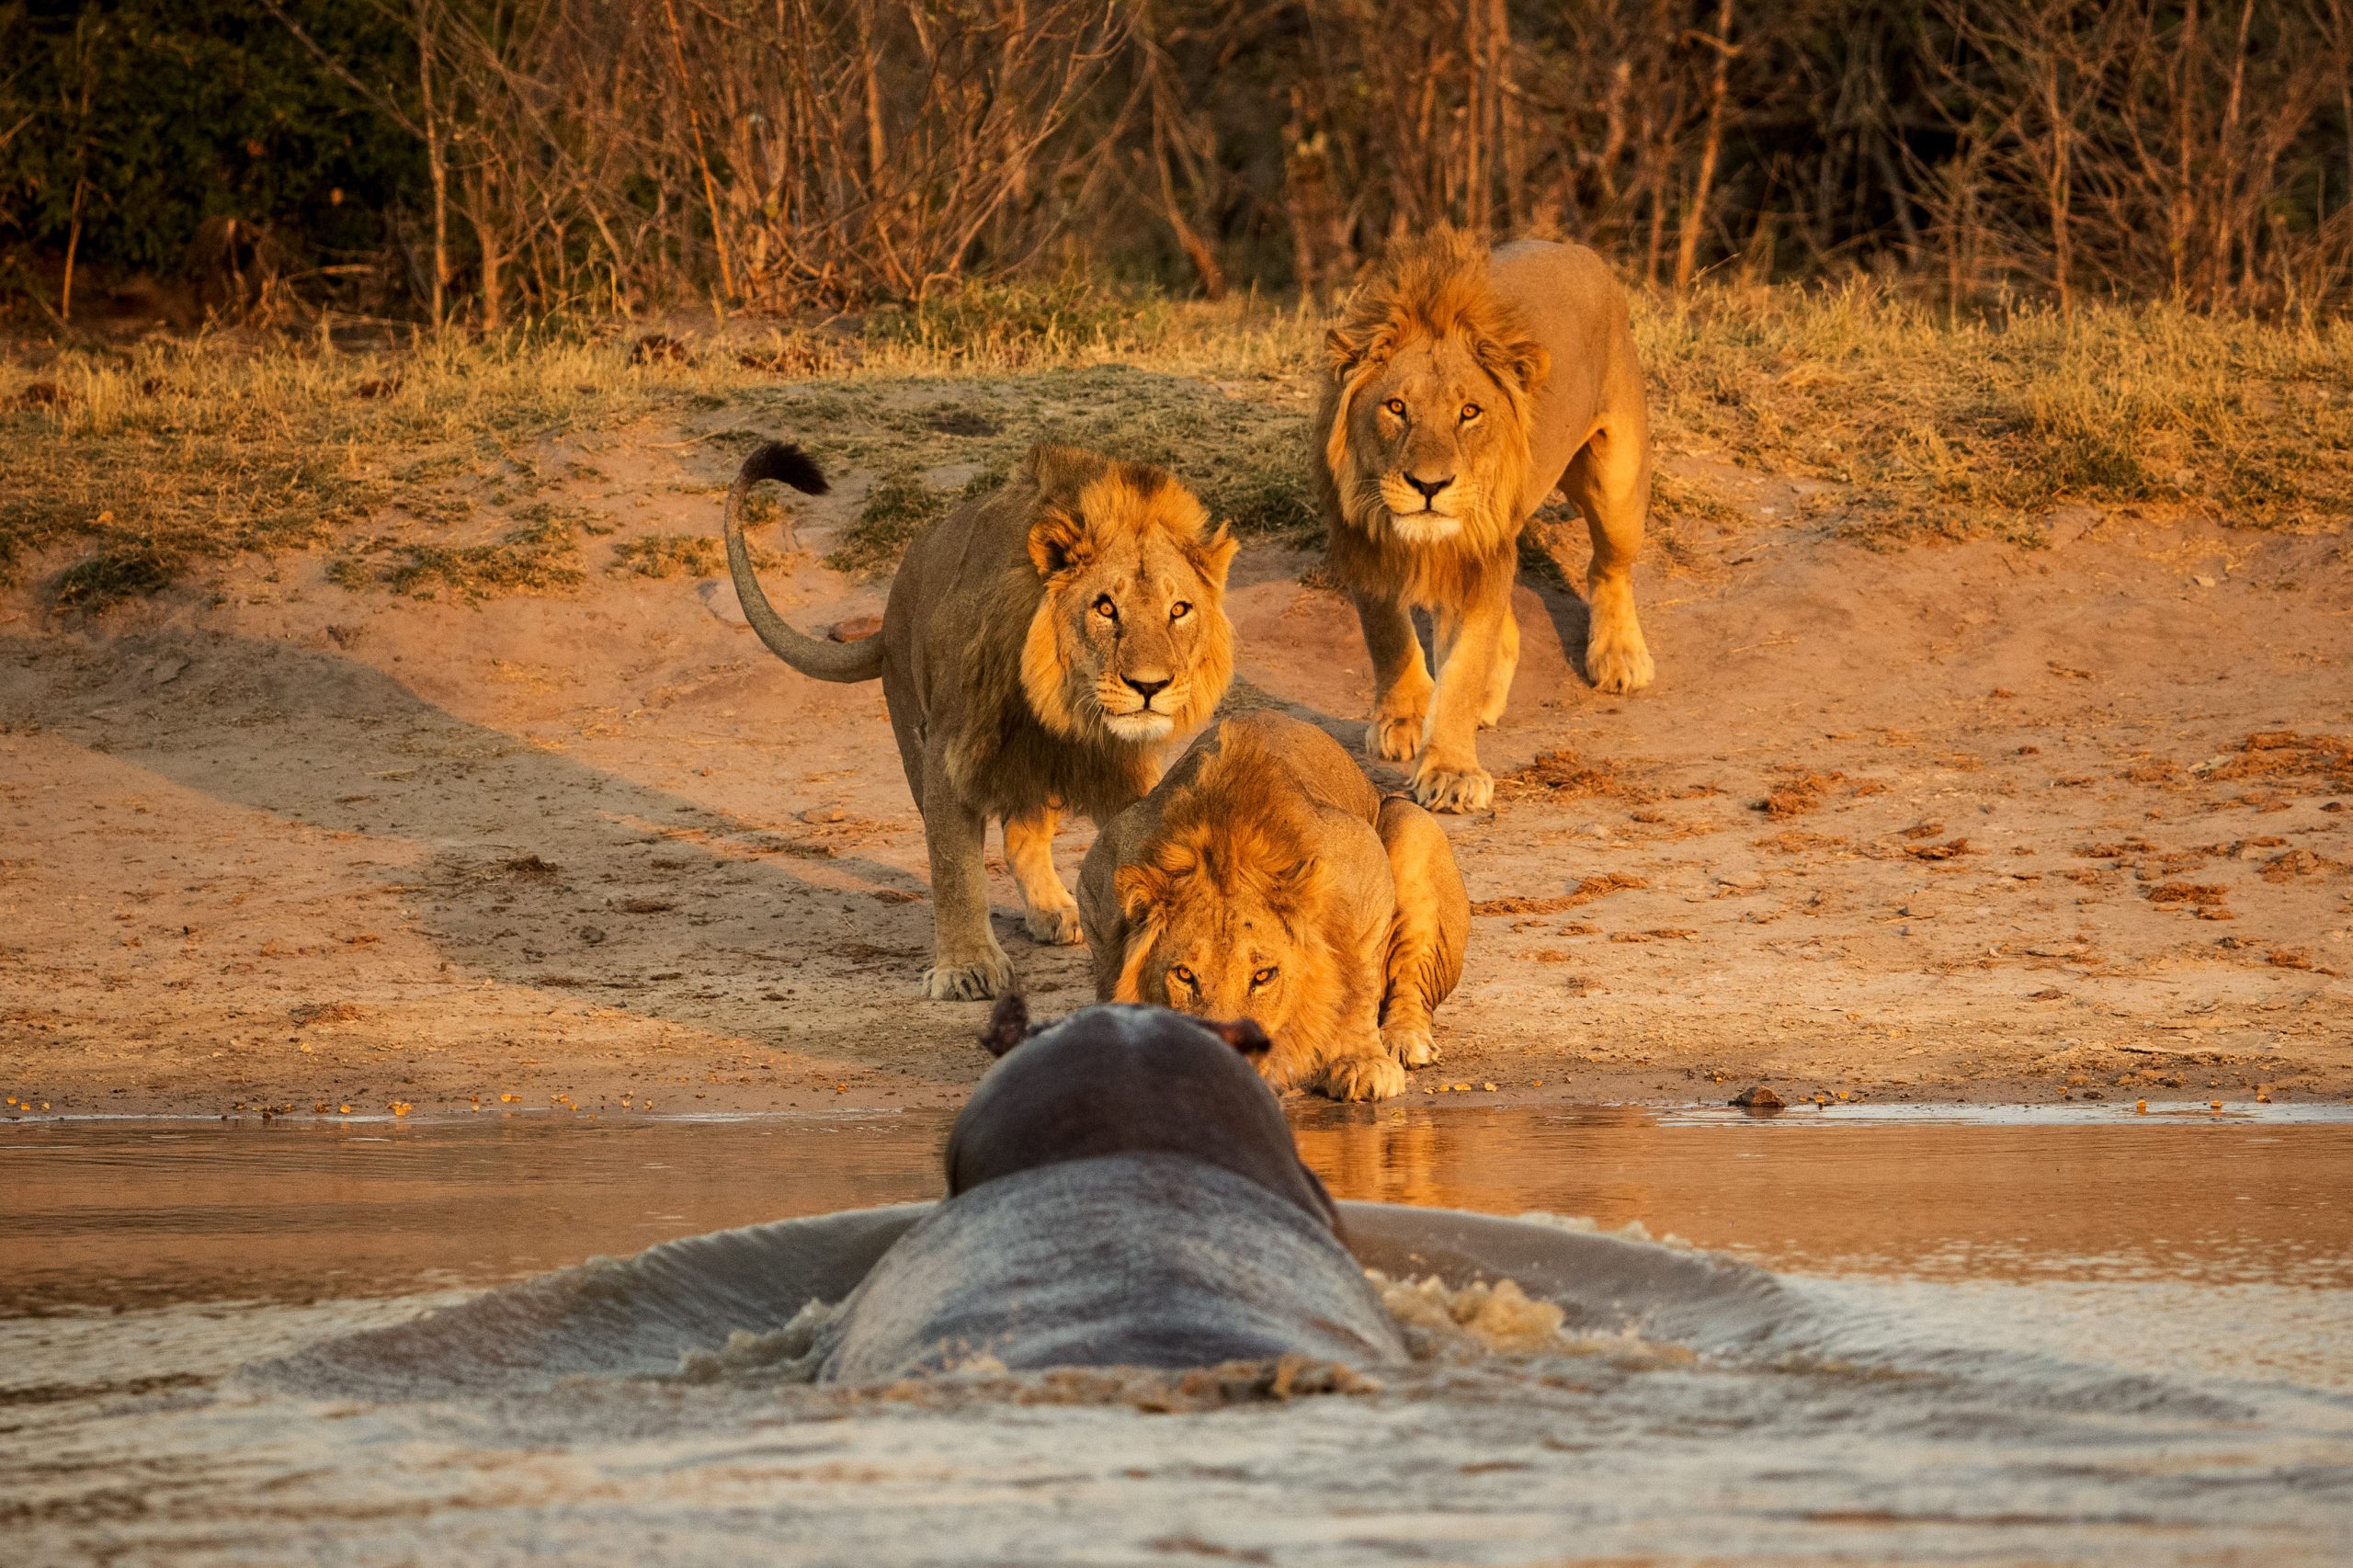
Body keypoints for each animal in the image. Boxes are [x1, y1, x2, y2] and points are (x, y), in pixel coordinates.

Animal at [724, 435, 1242, 1003]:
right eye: (1105, 608)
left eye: (1179, 610)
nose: (1150, 687)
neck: (1058, 699)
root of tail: (889, 614)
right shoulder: (950, 748)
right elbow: (955, 867)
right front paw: (966, 967)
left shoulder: (1116, 766)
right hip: (917, 731)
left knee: (1022, 836)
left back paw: (1054, 909)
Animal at [1077, 706, 1459, 1096]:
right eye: (1184, 975)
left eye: (1263, 976)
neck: (1225, 844)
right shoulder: (1100, 876)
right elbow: (1110, 976)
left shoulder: (1361, 861)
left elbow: (1358, 978)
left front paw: (1362, 1062)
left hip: (1410, 821)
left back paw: (1404, 1040)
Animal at [1308, 233, 1656, 819]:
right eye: (1396, 407)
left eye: (1469, 412)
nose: (1429, 485)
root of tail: (1577, 249)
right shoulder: (1364, 540)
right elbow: (1389, 637)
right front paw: (1405, 717)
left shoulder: (1475, 560)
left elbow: (1462, 667)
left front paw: (1451, 771)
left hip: (1617, 481)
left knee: (1607, 568)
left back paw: (1619, 657)